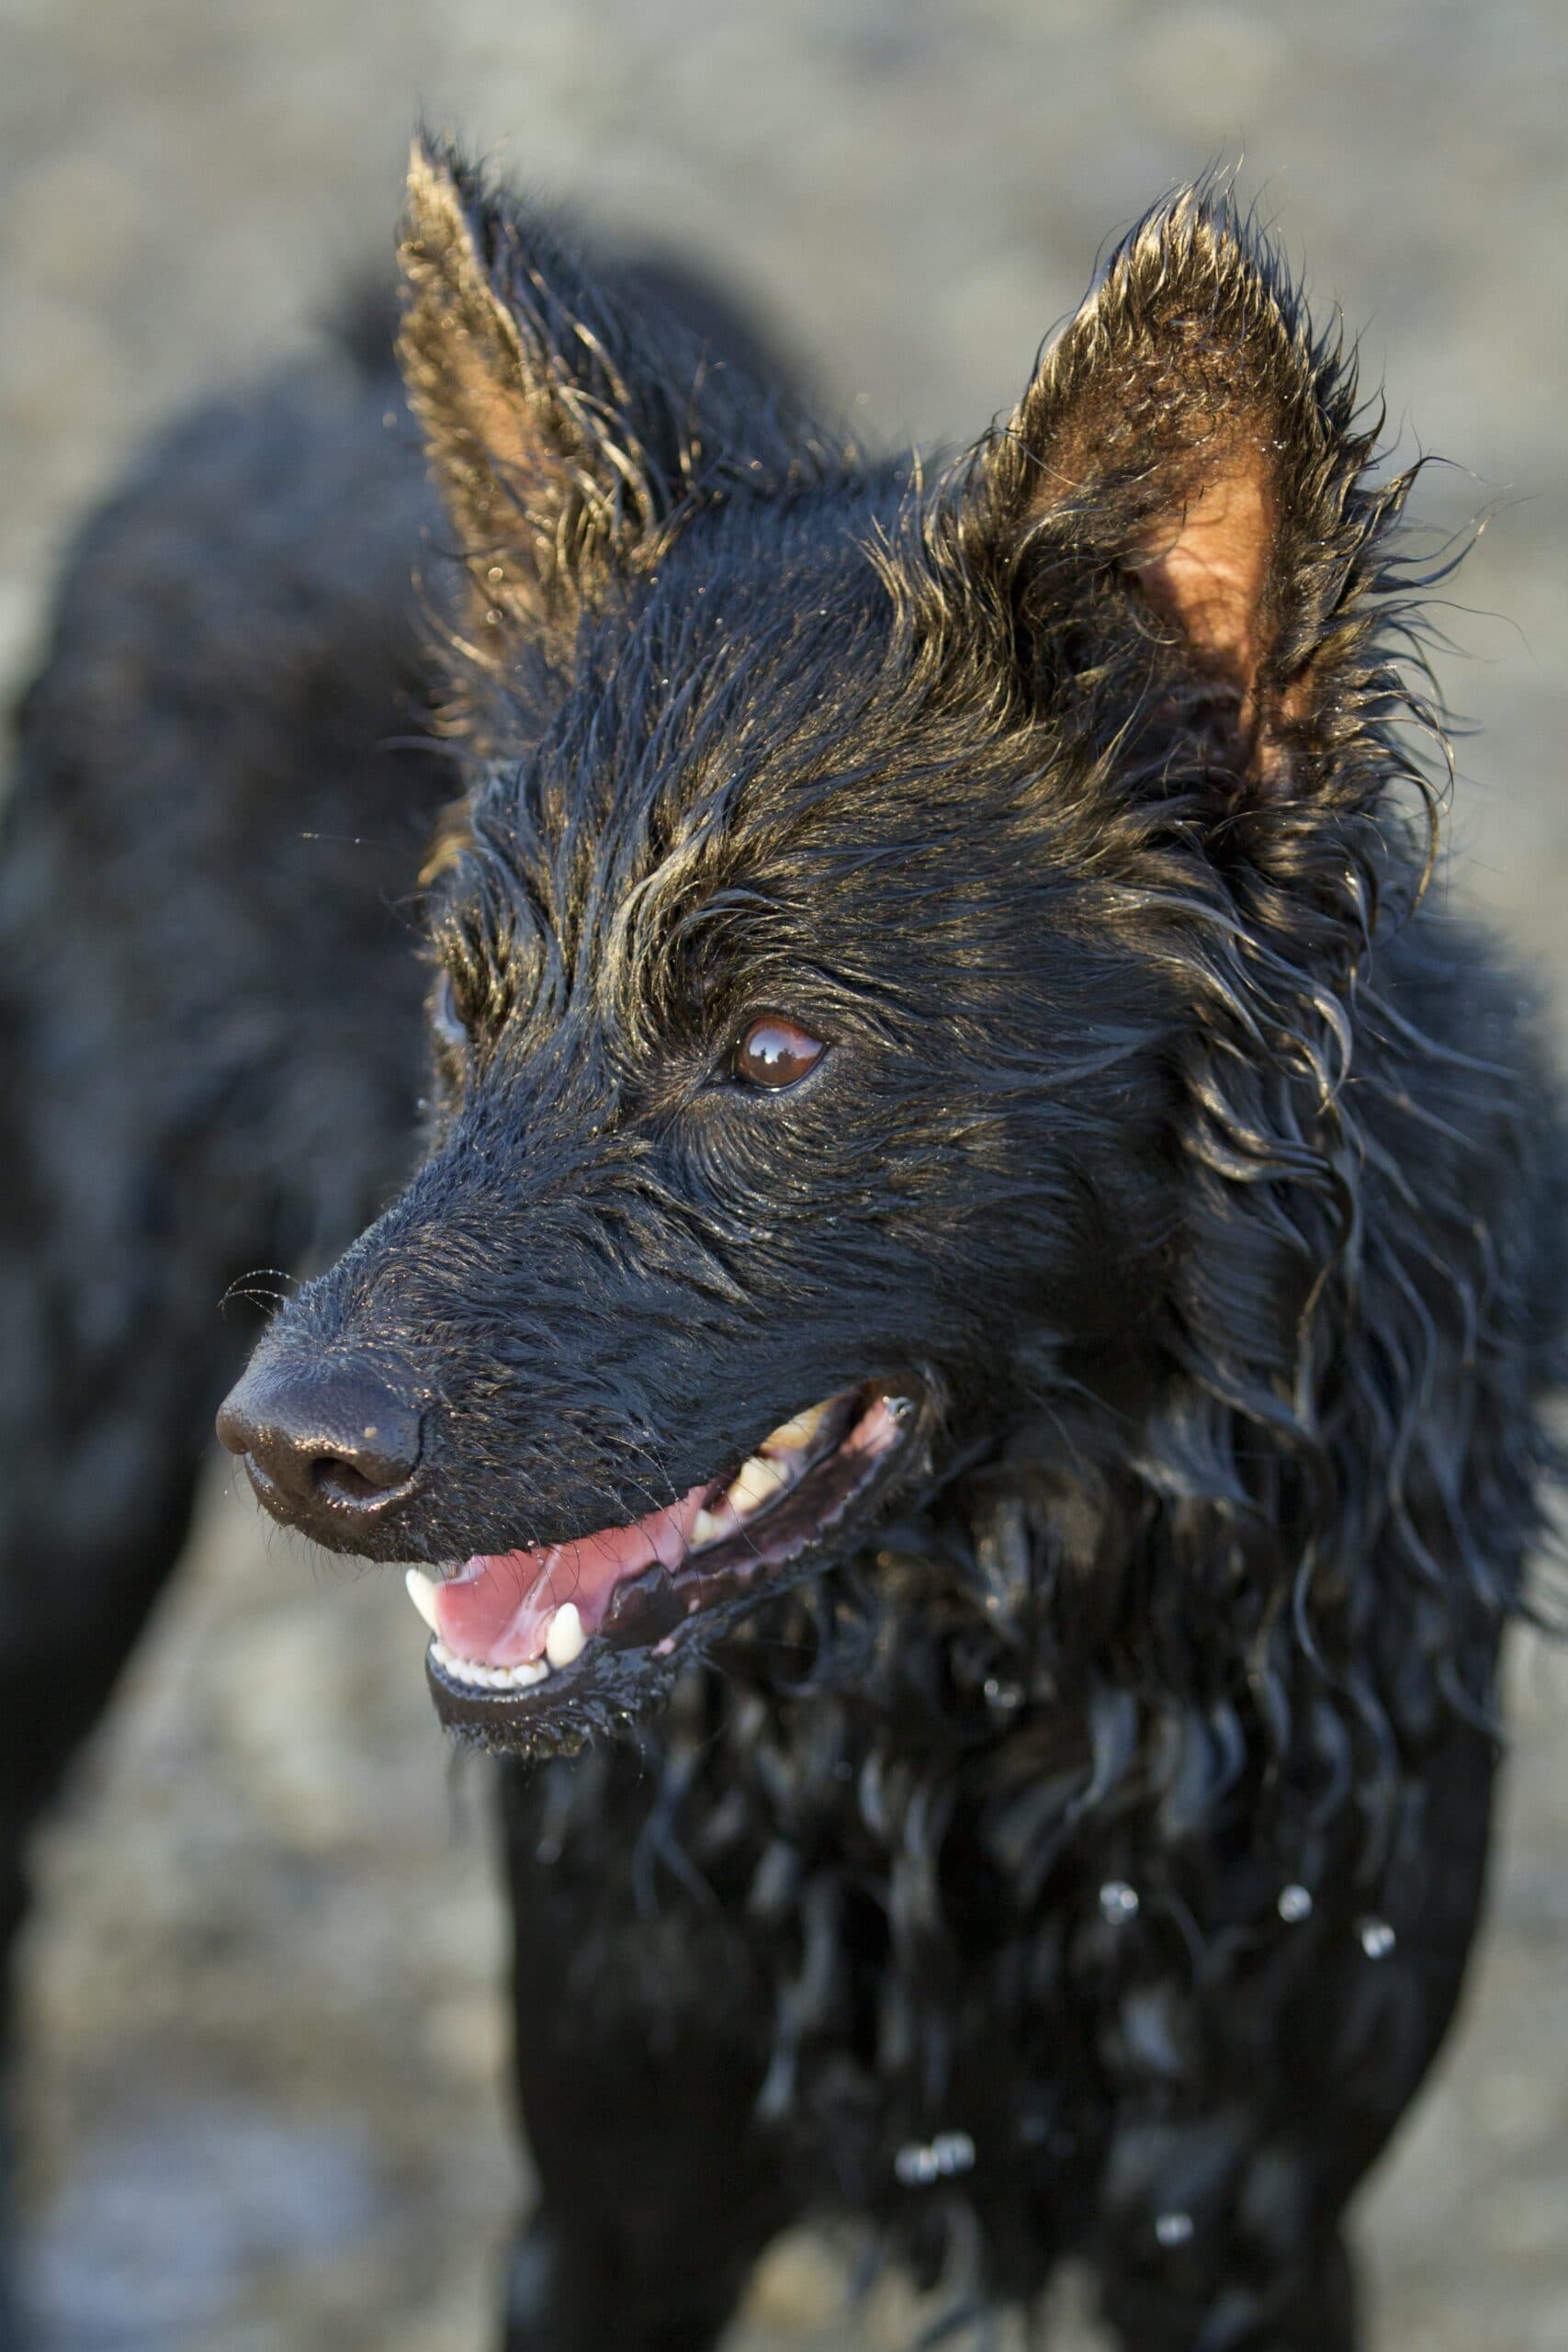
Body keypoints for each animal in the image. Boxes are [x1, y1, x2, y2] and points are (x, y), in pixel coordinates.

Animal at [3, 147, 1568, 2352]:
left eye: (772, 1051)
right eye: (462, 1006)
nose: (291, 1449)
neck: (983, 1676)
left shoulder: (1249, 2218)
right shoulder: (611, 2198)